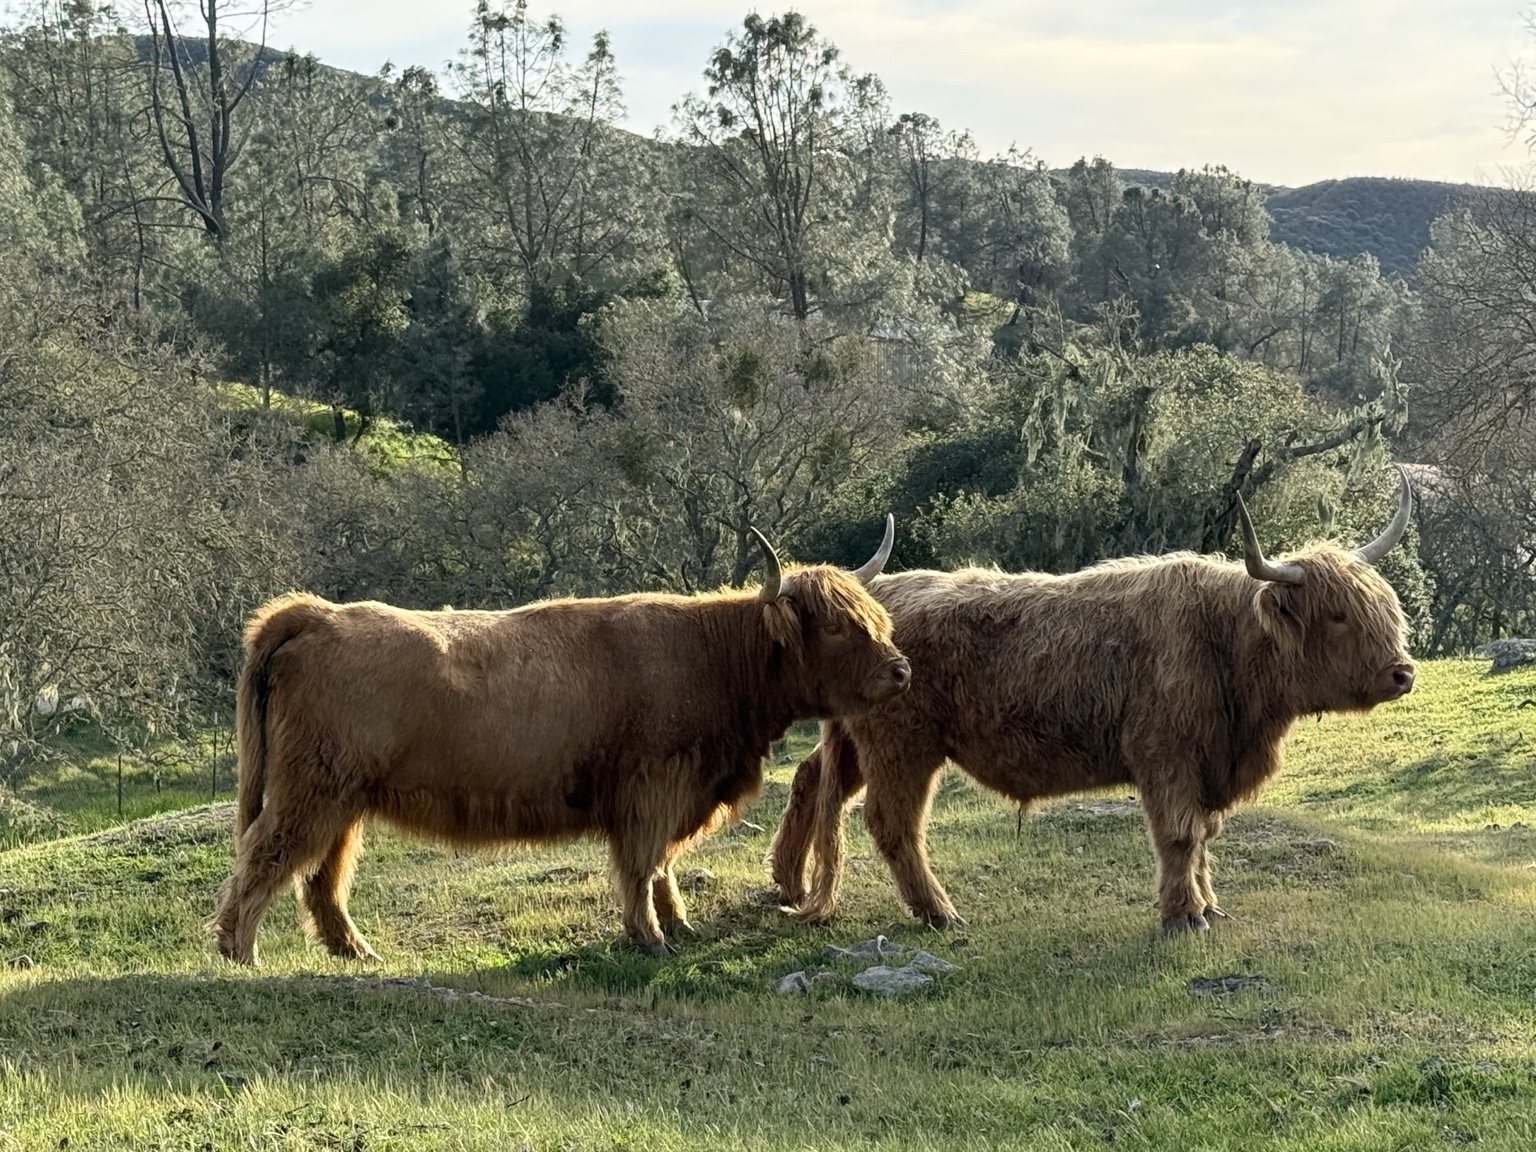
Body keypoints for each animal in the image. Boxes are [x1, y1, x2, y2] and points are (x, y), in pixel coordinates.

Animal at [211, 518, 911, 964]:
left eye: (873, 618)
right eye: (837, 627)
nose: (901, 671)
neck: (713, 658)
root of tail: (315, 612)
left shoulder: (673, 793)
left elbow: (662, 865)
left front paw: (678, 925)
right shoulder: (651, 788)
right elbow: (642, 863)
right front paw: (650, 938)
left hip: (343, 798)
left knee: (320, 877)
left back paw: (356, 952)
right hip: (311, 790)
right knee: (266, 855)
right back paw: (238, 953)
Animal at [770, 471, 1417, 935]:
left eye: (1383, 604)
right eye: (1338, 615)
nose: (1403, 672)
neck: (1225, 642)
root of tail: (876, 591)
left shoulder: (1207, 763)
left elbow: (1204, 836)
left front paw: (1209, 904)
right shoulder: (1166, 756)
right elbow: (1180, 835)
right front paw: (1184, 915)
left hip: (857, 743)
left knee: (812, 781)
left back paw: (788, 884)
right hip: (902, 746)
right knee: (893, 822)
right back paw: (939, 912)